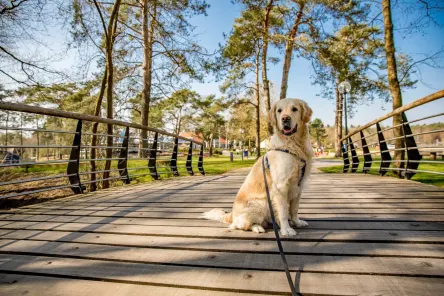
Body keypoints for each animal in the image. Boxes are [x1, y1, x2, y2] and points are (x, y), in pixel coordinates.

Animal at [203, 98, 314, 237]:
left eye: (294, 109)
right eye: (279, 111)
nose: (285, 119)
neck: (294, 145)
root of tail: (232, 215)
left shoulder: (299, 185)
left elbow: (294, 209)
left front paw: (297, 222)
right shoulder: (281, 187)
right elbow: (283, 211)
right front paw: (286, 229)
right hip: (261, 203)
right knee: (239, 225)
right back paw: (257, 227)